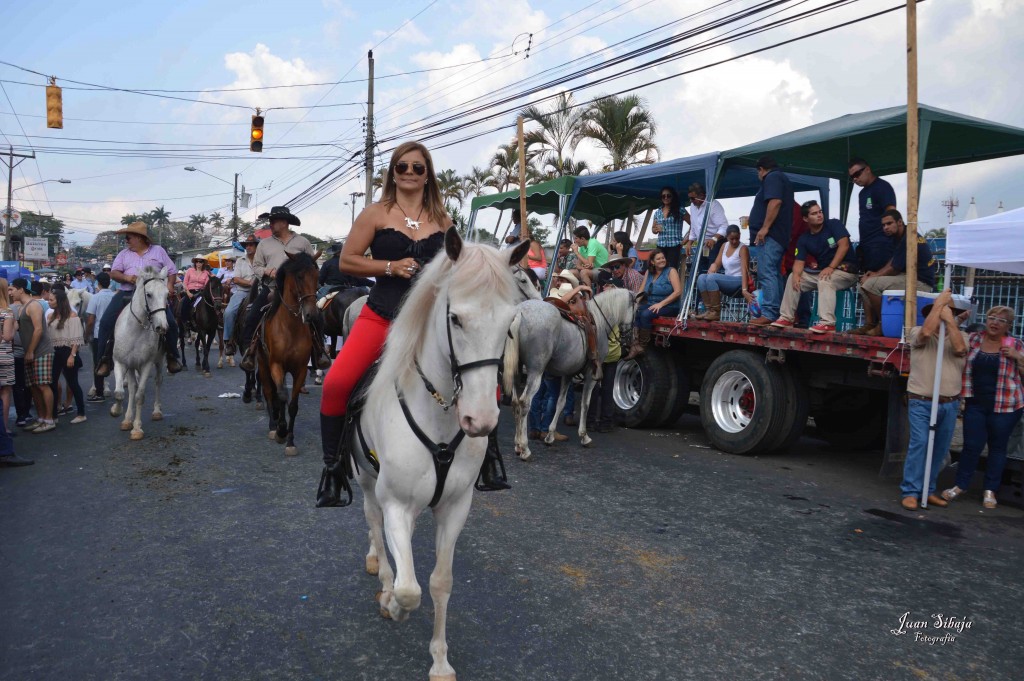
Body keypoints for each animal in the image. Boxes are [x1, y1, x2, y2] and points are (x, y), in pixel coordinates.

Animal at [109, 262, 168, 438]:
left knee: (158, 381)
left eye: (167, 295)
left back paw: (156, 411)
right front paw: (117, 411)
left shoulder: (146, 364)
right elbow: (120, 393)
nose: (162, 327)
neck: (136, 330)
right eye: (149, 294)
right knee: (131, 388)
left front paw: (136, 428)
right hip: (131, 365)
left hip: (158, 360)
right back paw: (127, 419)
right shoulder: (120, 362)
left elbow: (140, 396)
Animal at [258, 250, 317, 456]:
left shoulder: (301, 369)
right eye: (299, 277)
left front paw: (290, 441)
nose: (311, 314)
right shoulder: (276, 365)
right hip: (262, 365)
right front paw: (281, 431)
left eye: (317, 276)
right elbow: (282, 395)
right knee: (269, 392)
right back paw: (272, 426)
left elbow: (292, 405)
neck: (290, 328)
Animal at [350, 231, 528, 675]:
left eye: (509, 325)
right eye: (456, 319)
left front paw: (440, 662)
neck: (440, 419)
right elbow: (409, 589)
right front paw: (393, 603)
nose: (480, 419)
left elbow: (438, 582)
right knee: (373, 522)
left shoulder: (454, 506)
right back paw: (381, 572)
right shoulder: (395, 502)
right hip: (366, 480)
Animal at [501, 286, 638, 462]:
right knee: (524, 403)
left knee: (515, 403)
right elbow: (585, 403)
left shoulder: (568, 374)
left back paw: (518, 446)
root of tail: (519, 312)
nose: (629, 342)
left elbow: (561, 403)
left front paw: (550, 436)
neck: (600, 321)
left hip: (516, 371)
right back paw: (525, 449)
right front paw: (584, 436)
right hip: (535, 372)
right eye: (636, 310)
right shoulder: (591, 375)